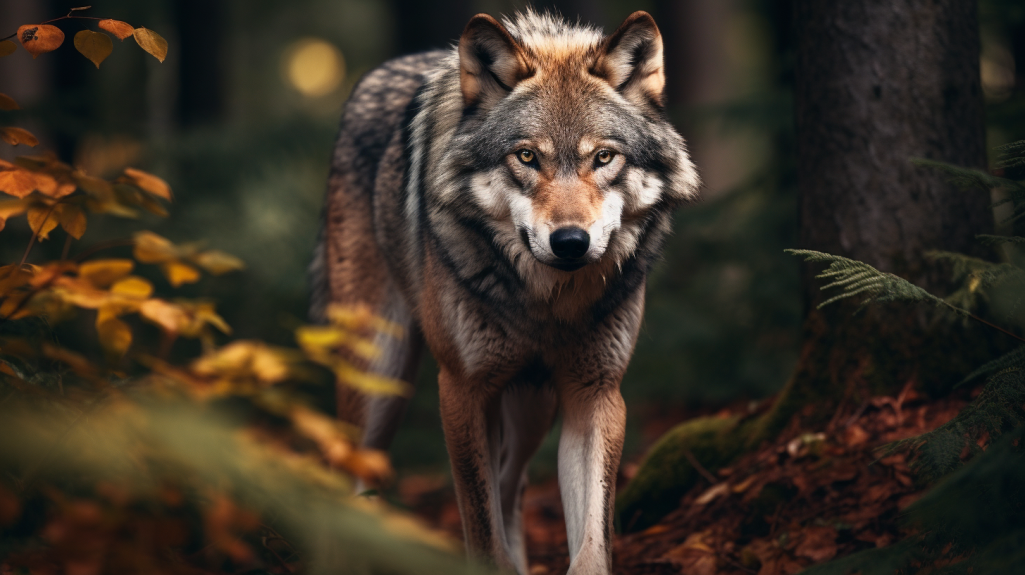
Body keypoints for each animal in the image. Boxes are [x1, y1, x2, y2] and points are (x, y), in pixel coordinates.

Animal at [309, 9, 699, 574]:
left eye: (604, 157)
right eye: (527, 157)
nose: (570, 241)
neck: (549, 303)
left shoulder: (595, 393)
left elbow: (590, 547)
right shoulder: (463, 390)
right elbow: (481, 529)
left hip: (530, 405)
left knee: (512, 484)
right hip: (380, 375)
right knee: (349, 480)